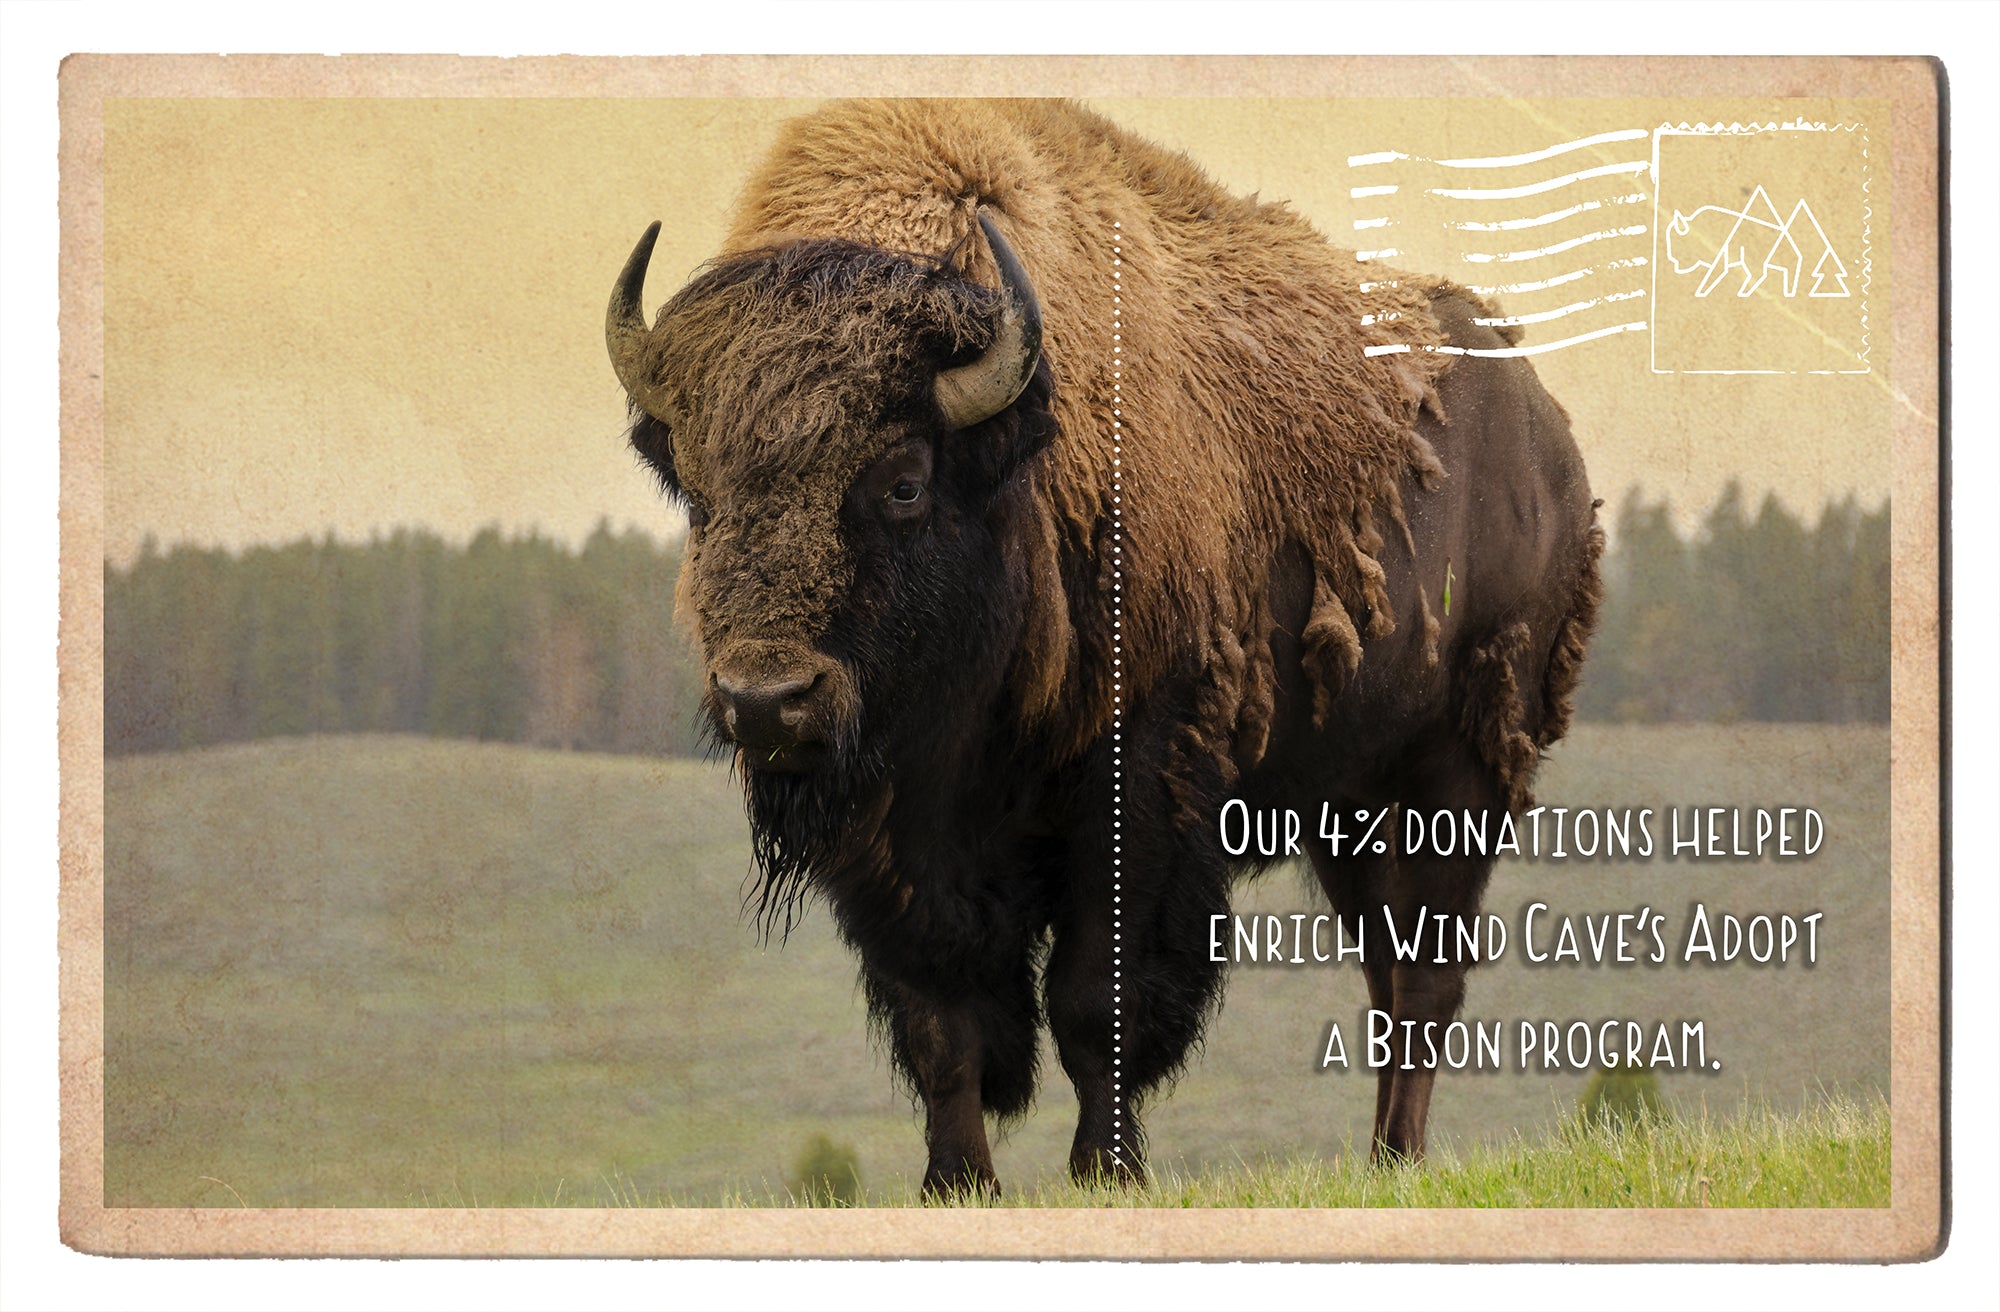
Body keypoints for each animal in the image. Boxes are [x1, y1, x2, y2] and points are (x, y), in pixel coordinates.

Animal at [606, 99, 1601, 1197]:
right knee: (1386, 976)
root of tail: (1546, 438)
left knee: (1422, 981)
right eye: (698, 493)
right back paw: (1382, 1162)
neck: (1016, 467)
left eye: (903, 481)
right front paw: (958, 1183)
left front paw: (1104, 1173)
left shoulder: (1136, 789)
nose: (764, 698)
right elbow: (940, 1022)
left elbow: (1095, 1004)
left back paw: (1395, 1158)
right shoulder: (894, 843)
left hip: (1457, 772)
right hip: (1346, 804)